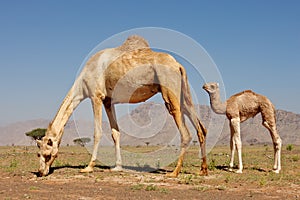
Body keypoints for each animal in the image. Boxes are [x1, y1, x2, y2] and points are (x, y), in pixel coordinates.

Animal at [36, 35, 207, 177]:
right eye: (38, 154)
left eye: (47, 154)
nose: (41, 172)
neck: (82, 83)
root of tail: (178, 65)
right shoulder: (108, 100)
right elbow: (115, 133)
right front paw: (117, 167)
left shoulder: (96, 96)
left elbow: (97, 132)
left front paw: (89, 167)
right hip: (184, 93)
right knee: (200, 127)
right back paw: (203, 170)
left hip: (169, 90)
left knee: (185, 131)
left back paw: (175, 172)